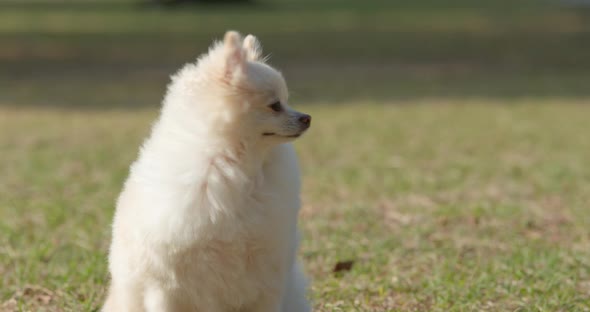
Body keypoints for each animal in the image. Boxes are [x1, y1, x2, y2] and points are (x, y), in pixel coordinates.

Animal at [103, 30, 312, 310]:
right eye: (275, 105)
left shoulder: (268, 275)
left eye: (287, 101)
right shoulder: (165, 285)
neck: (239, 166)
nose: (307, 118)